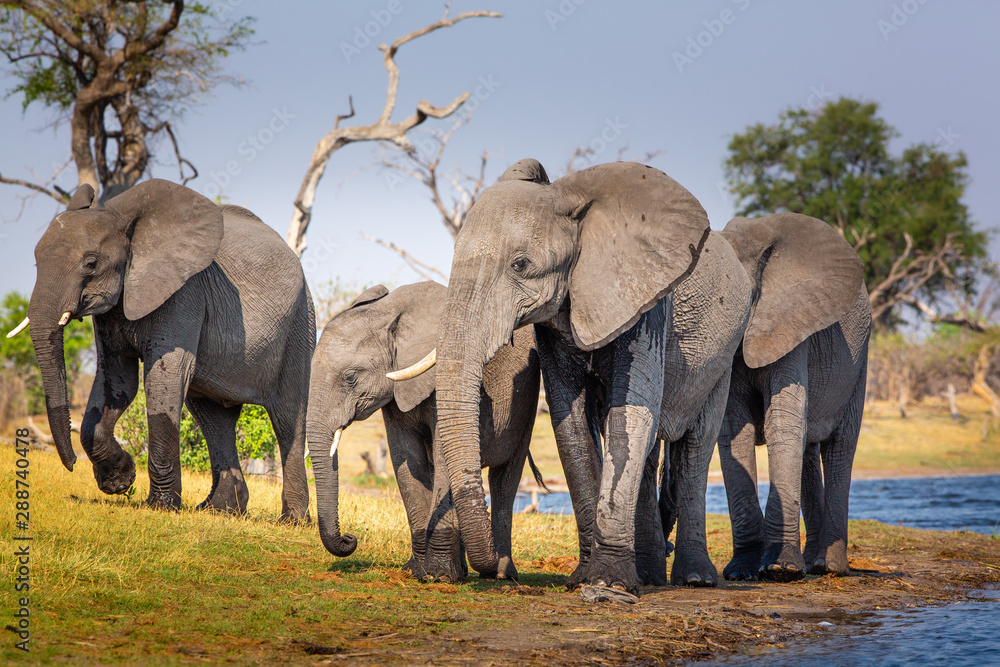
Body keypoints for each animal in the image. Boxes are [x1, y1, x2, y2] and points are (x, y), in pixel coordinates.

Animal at [13, 179, 315, 520]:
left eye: (90, 263)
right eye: (36, 261)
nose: (72, 465)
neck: (122, 219)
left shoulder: (184, 293)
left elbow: (164, 379)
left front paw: (160, 506)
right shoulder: (115, 306)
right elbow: (117, 380)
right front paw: (119, 480)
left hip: (300, 324)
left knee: (288, 418)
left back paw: (292, 521)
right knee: (214, 419)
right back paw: (220, 510)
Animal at [307, 281, 540, 581]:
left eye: (350, 378)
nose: (350, 537)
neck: (388, 313)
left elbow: (443, 457)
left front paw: (437, 576)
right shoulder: (395, 396)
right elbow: (407, 460)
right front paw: (416, 571)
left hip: (528, 399)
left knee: (505, 478)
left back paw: (500, 574)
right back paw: (463, 572)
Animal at [391, 159, 753, 594]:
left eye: (520, 265)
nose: (493, 567)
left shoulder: (646, 301)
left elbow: (630, 417)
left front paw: (610, 583)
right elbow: (571, 425)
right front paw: (585, 578)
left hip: (724, 352)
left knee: (695, 446)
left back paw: (694, 578)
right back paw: (649, 575)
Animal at [714, 213, 871, 581]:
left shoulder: (790, 324)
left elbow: (782, 423)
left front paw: (781, 569)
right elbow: (734, 430)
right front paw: (741, 572)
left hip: (859, 362)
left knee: (840, 448)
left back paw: (831, 567)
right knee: (809, 449)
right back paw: (812, 563)